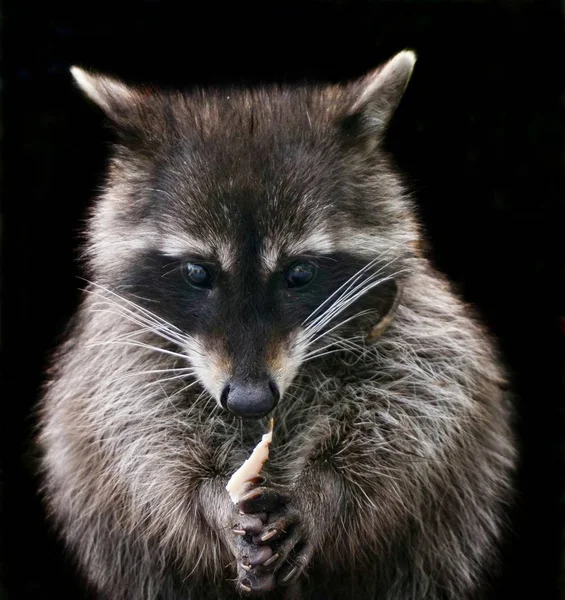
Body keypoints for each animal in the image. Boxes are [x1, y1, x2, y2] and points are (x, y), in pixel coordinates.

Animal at [37, 52, 516, 600]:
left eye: (300, 273)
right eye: (198, 273)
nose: (250, 401)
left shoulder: (412, 319)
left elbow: (421, 402)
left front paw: (326, 490)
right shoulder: (122, 346)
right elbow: (139, 432)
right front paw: (210, 500)